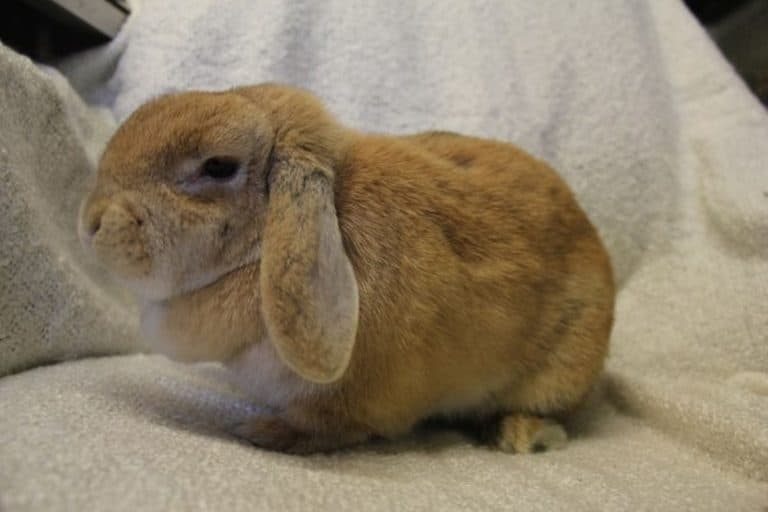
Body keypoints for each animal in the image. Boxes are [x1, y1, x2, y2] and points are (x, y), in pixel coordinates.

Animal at [79, 83, 615, 455]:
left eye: (216, 166)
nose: (90, 221)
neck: (264, 247)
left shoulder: (349, 401)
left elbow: (327, 426)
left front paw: (263, 431)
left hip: (558, 371)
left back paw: (519, 434)